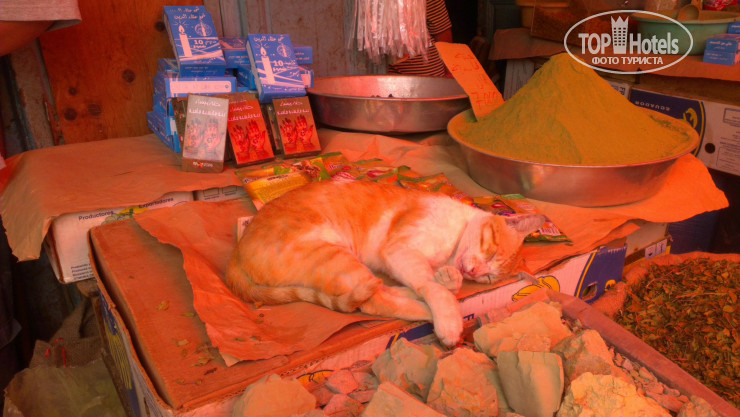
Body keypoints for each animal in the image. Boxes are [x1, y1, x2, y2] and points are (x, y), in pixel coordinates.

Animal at [226, 179, 544, 346]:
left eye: (489, 278)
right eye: (491, 253)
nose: (476, 272)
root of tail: (236, 253)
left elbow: (435, 282)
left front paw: (449, 280)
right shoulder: (399, 250)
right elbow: (433, 288)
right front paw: (448, 316)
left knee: (378, 293)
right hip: (335, 254)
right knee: (373, 302)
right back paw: (440, 313)